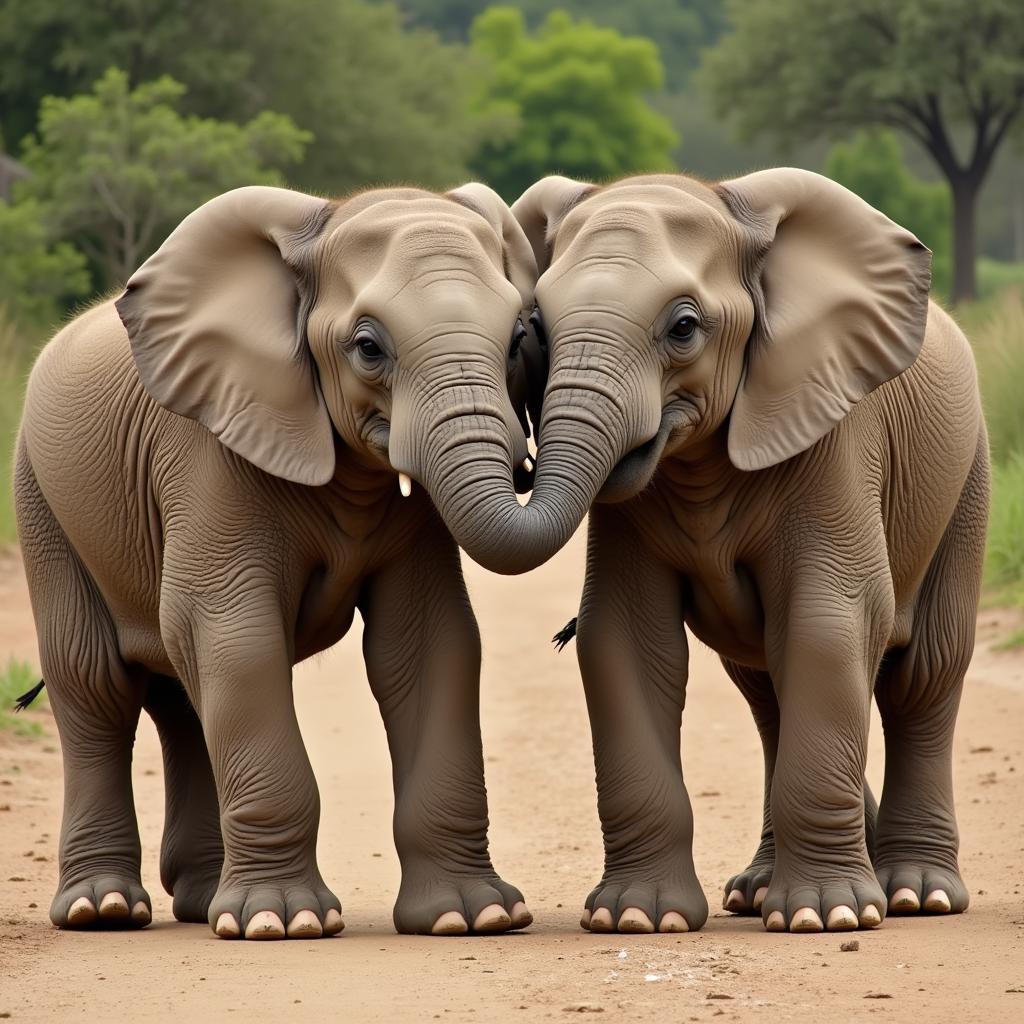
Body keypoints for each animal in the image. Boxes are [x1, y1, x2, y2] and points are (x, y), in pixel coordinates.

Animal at [16, 182, 544, 937]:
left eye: (518, 338)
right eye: (367, 347)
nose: (528, 467)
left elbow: (428, 640)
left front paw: (474, 916)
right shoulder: (208, 454)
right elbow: (234, 637)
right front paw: (281, 922)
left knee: (180, 694)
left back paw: (200, 903)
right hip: (40, 497)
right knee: (94, 684)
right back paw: (104, 909)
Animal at [499, 169, 987, 937]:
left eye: (684, 328)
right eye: (537, 327)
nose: (522, 467)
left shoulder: (833, 436)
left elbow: (829, 625)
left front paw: (829, 916)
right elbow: (621, 635)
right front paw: (638, 918)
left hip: (968, 480)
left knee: (924, 676)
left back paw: (916, 894)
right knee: (766, 692)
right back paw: (761, 892)